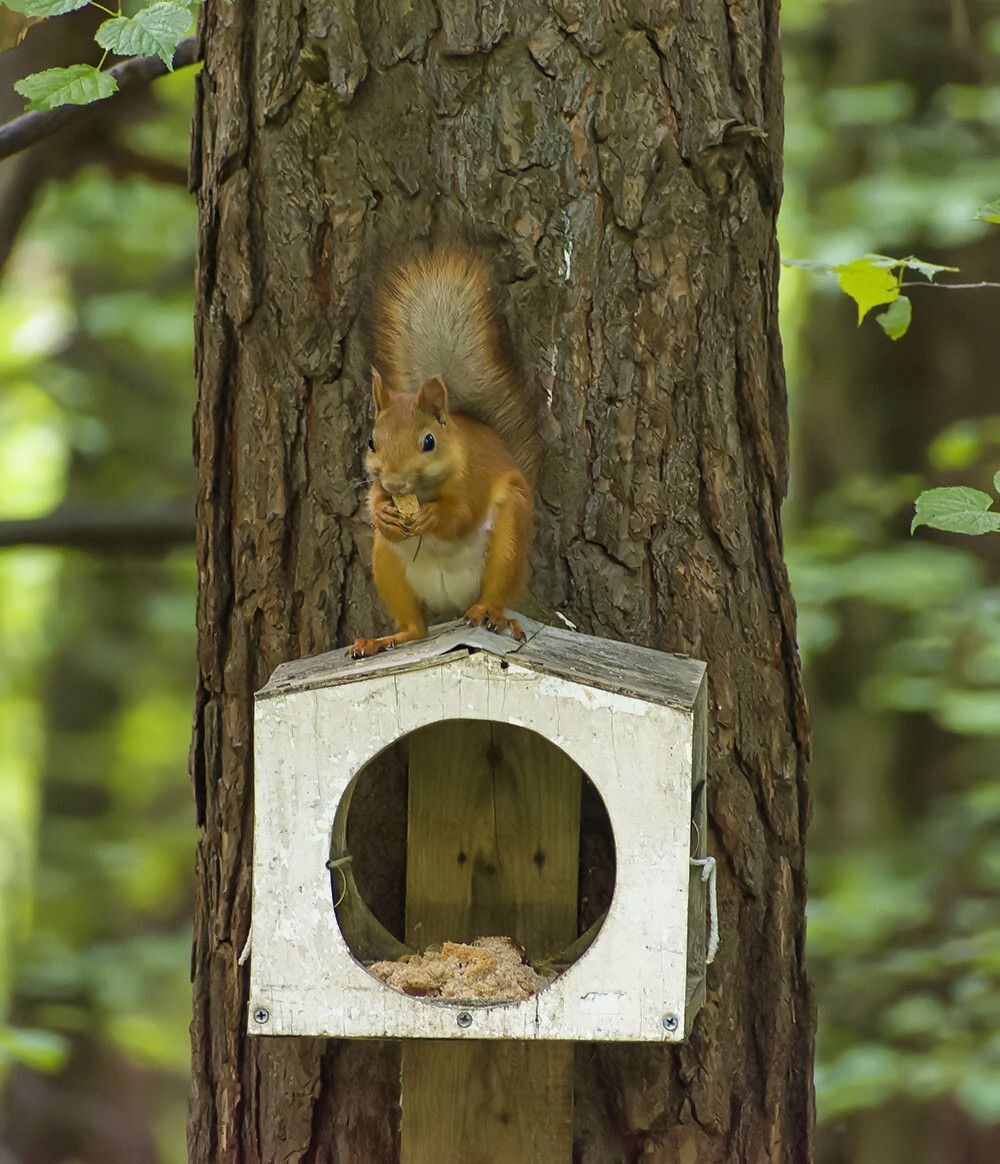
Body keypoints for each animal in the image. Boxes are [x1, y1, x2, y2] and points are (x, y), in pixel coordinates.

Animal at [349, 251, 542, 661]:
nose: (395, 484)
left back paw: (492, 613)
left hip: (509, 540)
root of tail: (456, 604)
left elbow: (461, 514)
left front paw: (434, 517)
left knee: (497, 592)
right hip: (387, 563)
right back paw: (380, 641)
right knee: (416, 629)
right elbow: (375, 503)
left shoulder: (473, 478)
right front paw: (382, 511)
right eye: (372, 442)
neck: (422, 491)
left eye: (428, 441)